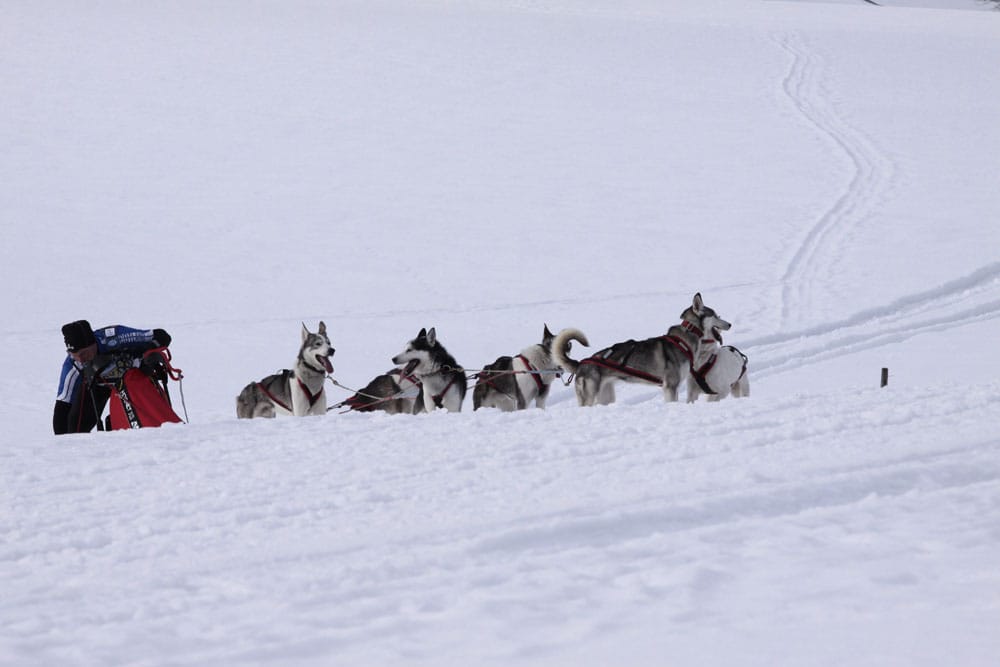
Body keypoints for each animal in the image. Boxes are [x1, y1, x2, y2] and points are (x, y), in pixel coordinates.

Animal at [552, 293, 730, 406]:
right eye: (715, 315)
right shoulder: (670, 386)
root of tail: (581, 364)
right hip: (590, 398)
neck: (685, 339)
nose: (729, 324)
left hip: (606, 397)